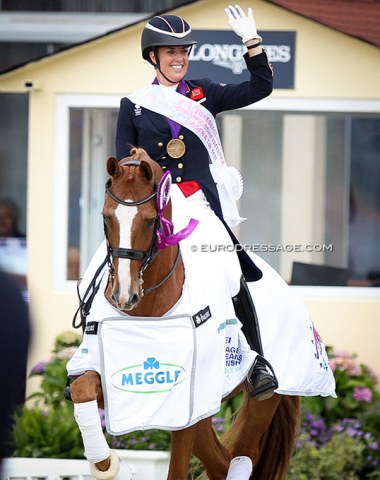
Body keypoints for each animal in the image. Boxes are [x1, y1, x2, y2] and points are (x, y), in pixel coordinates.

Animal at [69, 147, 300, 480]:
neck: (148, 311)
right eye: (105, 216)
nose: (124, 296)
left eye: (151, 221)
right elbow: (81, 387)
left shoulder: (189, 393)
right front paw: (111, 465)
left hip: (260, 398)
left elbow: (177, 468)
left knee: (244, 451)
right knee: (220, 461)